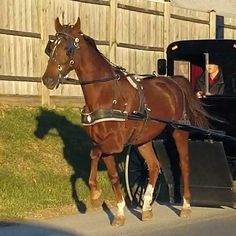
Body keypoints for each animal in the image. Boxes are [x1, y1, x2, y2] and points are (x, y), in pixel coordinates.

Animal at [42, 17, 208, 226]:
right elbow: (113, 176)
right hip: (143, 139)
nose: (47, 79)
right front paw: (120, 213)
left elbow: (93, 154)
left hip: (179, 131)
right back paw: (146, 207)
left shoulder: (115, 143)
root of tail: (174, 81)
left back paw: (185, 205)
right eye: (50, 47)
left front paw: (95, 195)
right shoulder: (105, 145)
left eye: (67, 48)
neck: (106, 95)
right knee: (154, 166)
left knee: (184, 164)